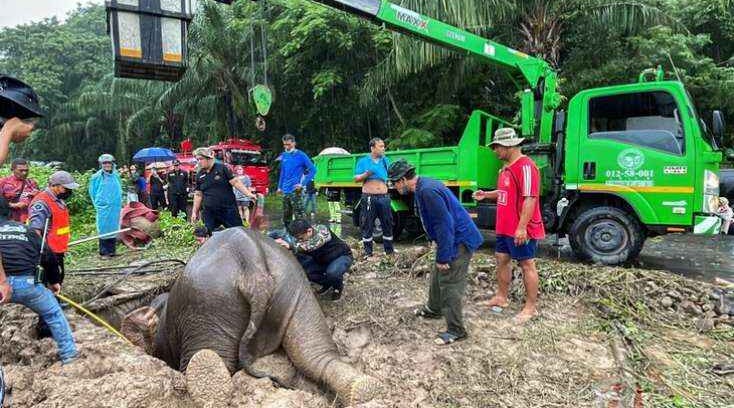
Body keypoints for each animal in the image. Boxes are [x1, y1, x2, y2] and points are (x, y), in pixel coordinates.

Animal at [122, 228, 380, 404]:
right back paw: (363, 389)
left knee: (208, 359)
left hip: (208, 305)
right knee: (314, 353)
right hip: (296, 289)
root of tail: (250, 261)